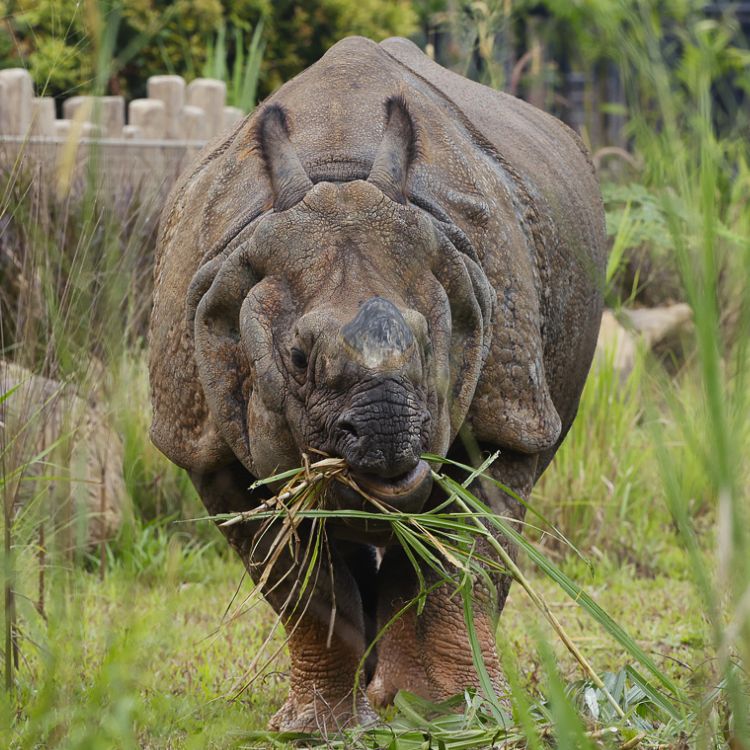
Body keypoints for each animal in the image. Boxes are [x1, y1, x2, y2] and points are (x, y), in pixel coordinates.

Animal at [149, 36, 606, 732]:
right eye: (297, 358)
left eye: (429, 344)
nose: (387, 437)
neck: (337, 171)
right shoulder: (202, 444)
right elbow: (298, 585)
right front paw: (314, 730)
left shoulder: (511, 413)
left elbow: (460, 560)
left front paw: (452, 714)